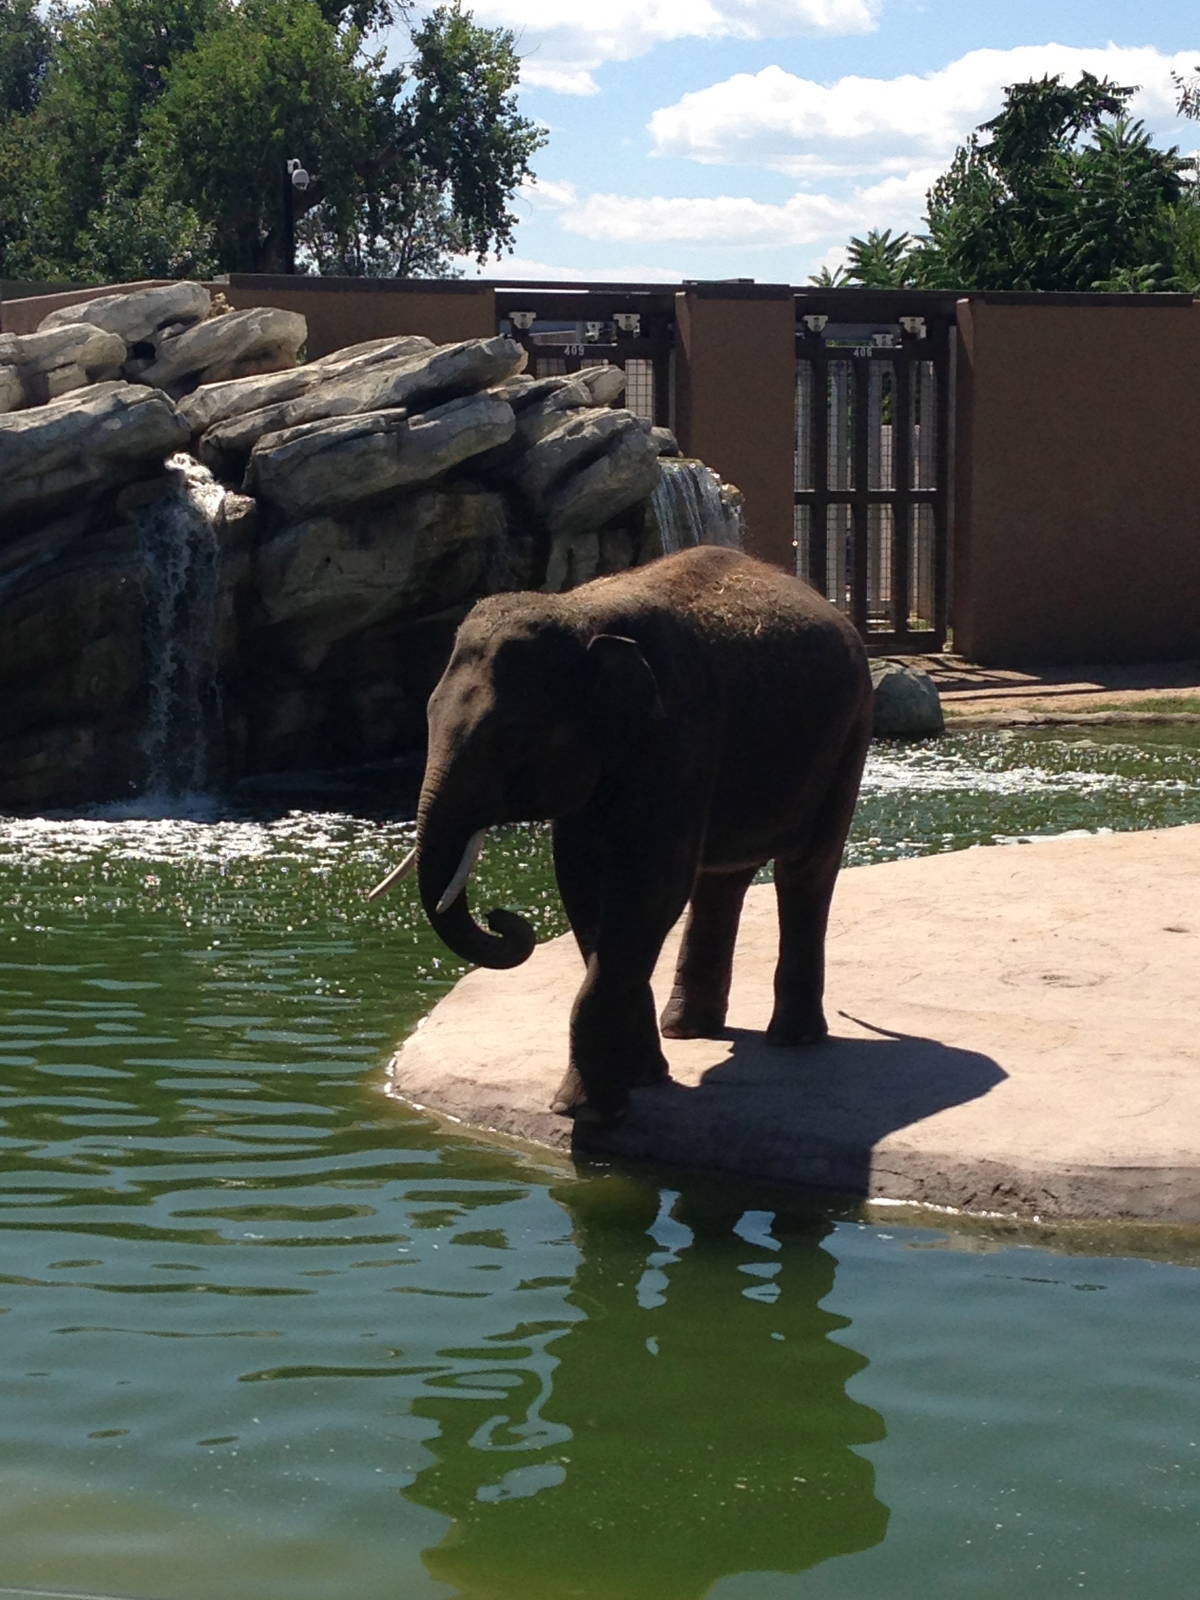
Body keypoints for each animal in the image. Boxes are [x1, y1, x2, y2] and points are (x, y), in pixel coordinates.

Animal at [372, 545, 873, 1122]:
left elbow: (650, 889)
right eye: (427, 716)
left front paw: (583, 1110)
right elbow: (584, 885)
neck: (579, 614)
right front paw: (640, 1079)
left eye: (509, 736)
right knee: (721, 881)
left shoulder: (680, 733)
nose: (504, 920)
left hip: (850, 732)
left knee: (805, 872)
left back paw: (792, 1039)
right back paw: (687, 1030)